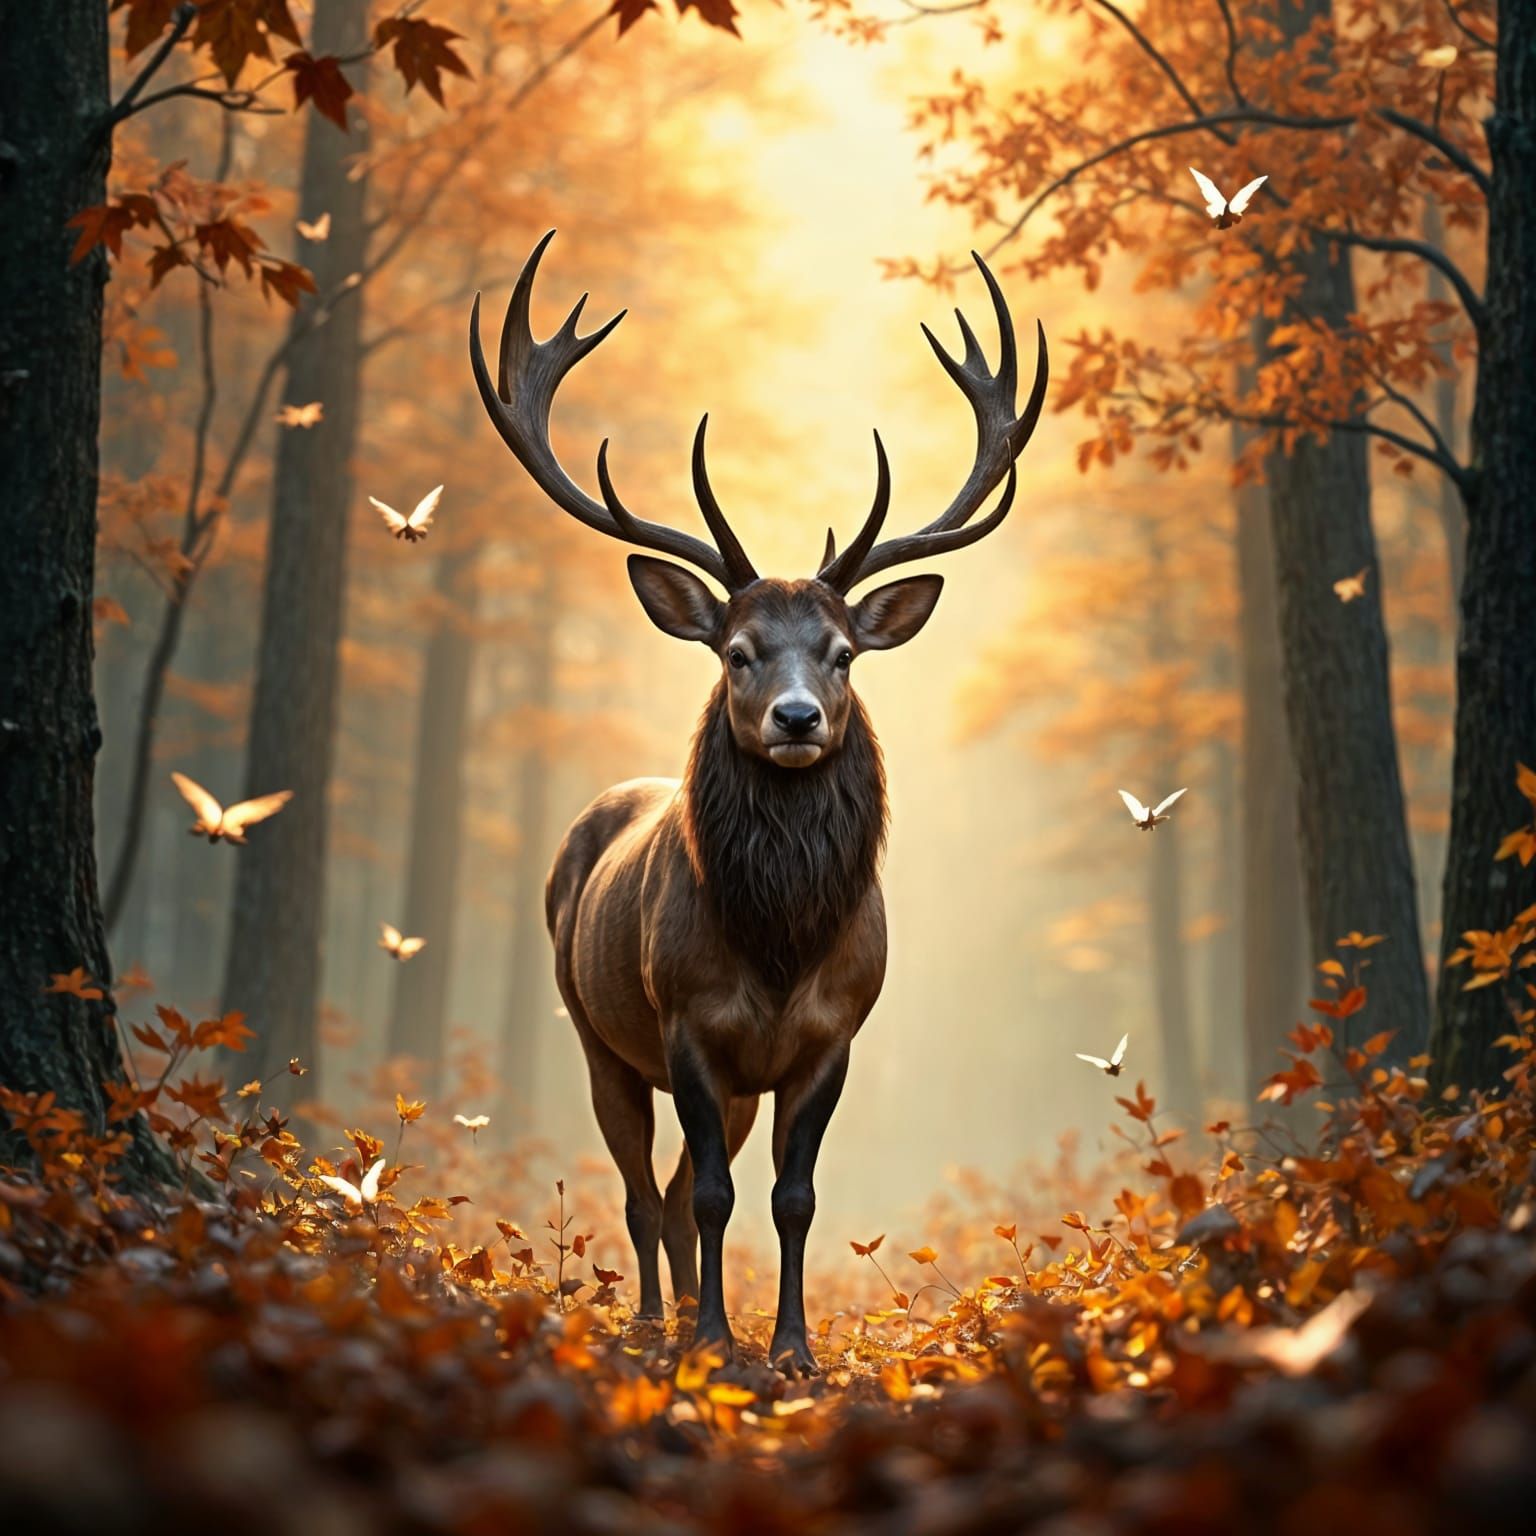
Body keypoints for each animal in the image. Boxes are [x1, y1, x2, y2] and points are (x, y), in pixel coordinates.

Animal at [469, 232, 1047, 1375]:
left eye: (842, 652)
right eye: (737, 649)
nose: (794, 716)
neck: (779, 944)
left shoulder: (831, 1036)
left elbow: (790, 1197)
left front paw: (791, 1348)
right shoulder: (688, 1023)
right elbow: (704, 1195)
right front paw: (711, 1342)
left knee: (682, 1194)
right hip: (596, 1032)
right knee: (644, 1193)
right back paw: (659, 1321)